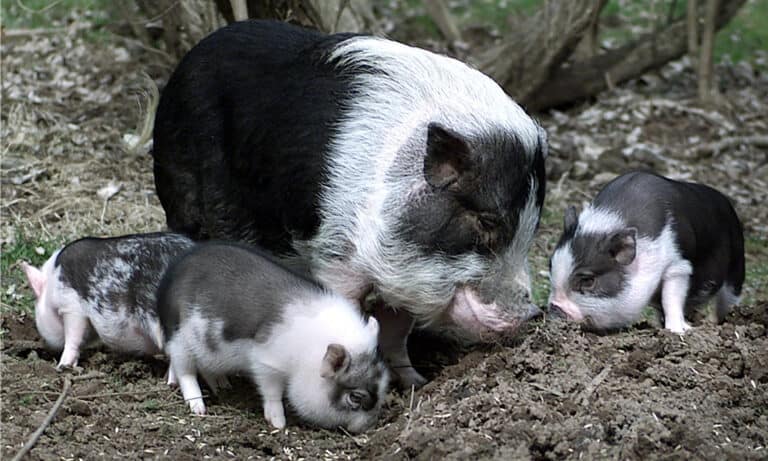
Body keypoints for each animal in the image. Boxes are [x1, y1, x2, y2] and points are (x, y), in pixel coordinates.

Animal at [150, 20, 547, 387]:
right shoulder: (337, 256)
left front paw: (415, 383)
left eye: (532, 227)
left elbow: (396, 329)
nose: (533, 314)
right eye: (488, 220)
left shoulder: (400, 277)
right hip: (182, 193)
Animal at [157, 241, 389, 432]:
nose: (368, 427)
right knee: (184, 369)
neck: (308, 358)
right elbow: (271, 391)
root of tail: (170, 276)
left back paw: (222, 386)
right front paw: (279, 425)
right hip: (179, 338)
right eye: (355, 397)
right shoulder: (266, 360)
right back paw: (197, 407)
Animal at [548, 171, 745, 333]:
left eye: (588, 281)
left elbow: (671, 297)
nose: (555, 307)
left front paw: (678, 331)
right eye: (551, 268)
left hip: (736, 265)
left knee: (728, 299)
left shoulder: (679, 266)